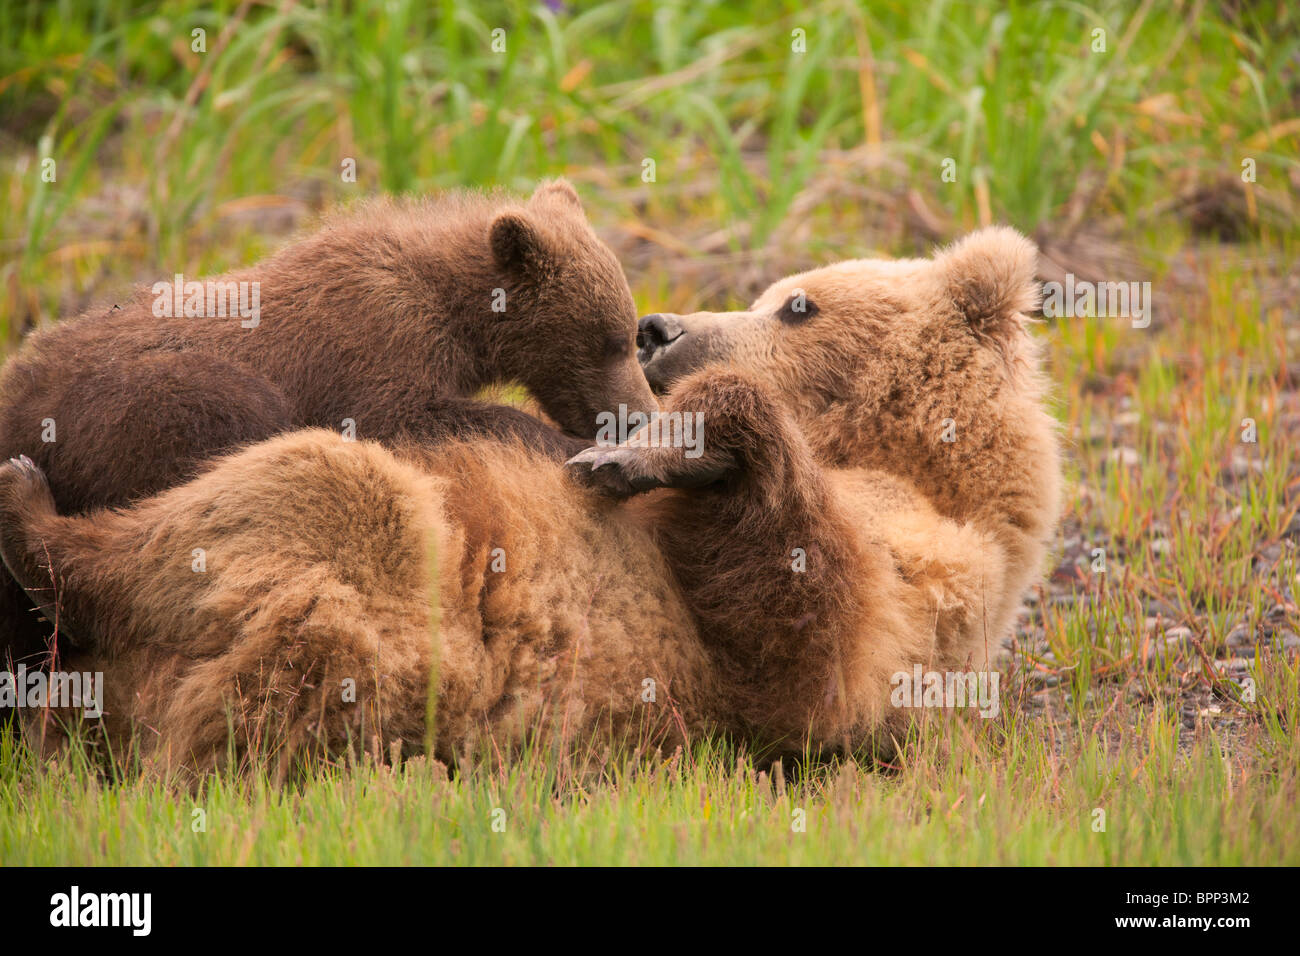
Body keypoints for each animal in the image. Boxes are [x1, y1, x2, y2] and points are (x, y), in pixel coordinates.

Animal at [0, 183, 655, 671]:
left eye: (626, 331)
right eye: (611, 339)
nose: (637, 414)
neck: (457, 314)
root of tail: (18, 401)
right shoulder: (373, 346)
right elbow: (411, 417)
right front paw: (576, 447)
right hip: (145, 405)